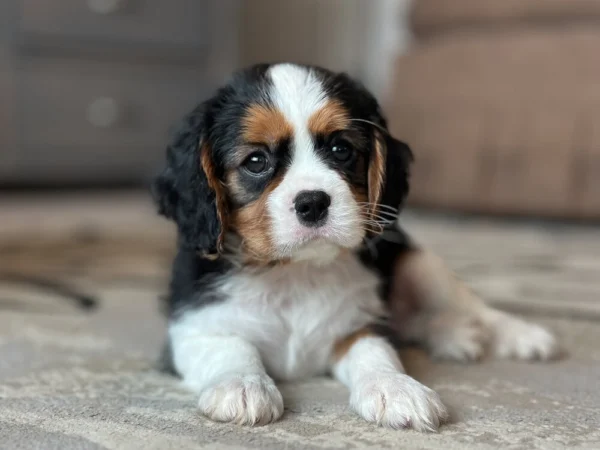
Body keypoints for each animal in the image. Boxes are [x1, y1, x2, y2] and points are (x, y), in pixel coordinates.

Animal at [151, 61, 556, 430]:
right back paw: (454, 335)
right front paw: (242, 385)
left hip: (420, 265)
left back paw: (517, 334)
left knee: (471, 307)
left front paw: (395, 388)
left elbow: (376, 352)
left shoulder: (360, 324)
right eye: (256, 161)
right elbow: (232, 347)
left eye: (340, 149)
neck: (294, 273)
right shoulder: (193, 328)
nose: (313, 202)